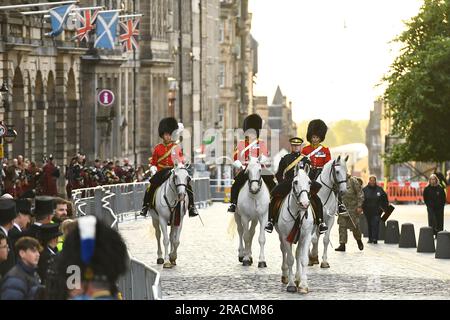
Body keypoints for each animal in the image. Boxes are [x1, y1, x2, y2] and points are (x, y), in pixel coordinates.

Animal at [274, 166, 312, 294]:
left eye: (309, 182)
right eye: (295, 182)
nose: (304, 203)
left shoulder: (306, 236)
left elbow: (303, 259)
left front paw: (303, 285)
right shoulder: (286, 237)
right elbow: (290, 259)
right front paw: (291, 285)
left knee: (298, 254)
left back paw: (298, 278)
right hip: (281, 236)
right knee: (284, 251)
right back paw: (286, 276)